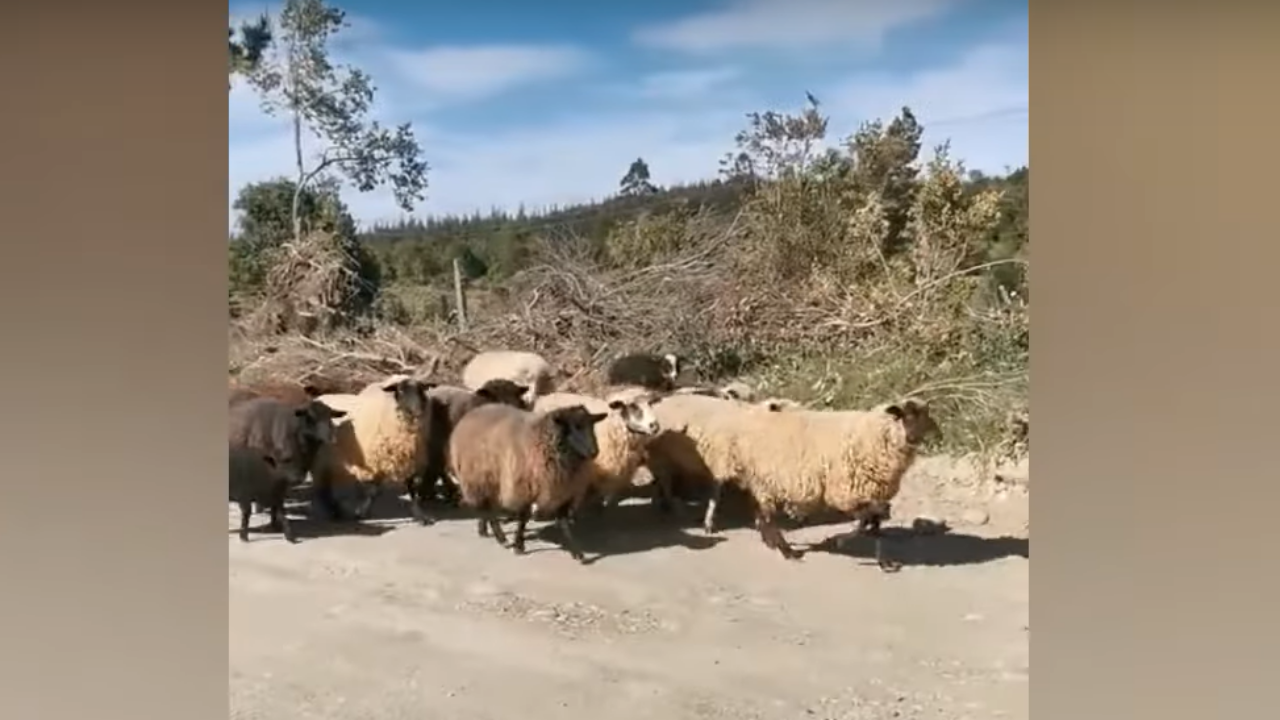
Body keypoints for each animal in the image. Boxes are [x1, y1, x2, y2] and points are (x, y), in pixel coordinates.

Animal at [308, 376, 435, 520]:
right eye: (401, 391)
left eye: (421, 390)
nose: (418, 412)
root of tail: (319, 397)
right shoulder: (376, 460)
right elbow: (373, 491)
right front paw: (362, 512)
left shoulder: (409, 458)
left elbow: (412, 488)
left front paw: (420, 515)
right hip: (321, 458)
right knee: (322, 486)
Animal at [450, 399, 609, 558]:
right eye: (576, 427)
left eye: (592, 425)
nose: (594, 452)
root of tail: (473, 412)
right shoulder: (523, 488)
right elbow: (523, 518)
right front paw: (518, 545)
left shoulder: (564, 490)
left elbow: (563, 521)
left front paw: (576, 551)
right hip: (478, 479)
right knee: (488, 510)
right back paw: (501, 538)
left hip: (488, 481)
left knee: (484, 507)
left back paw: (483, 529)